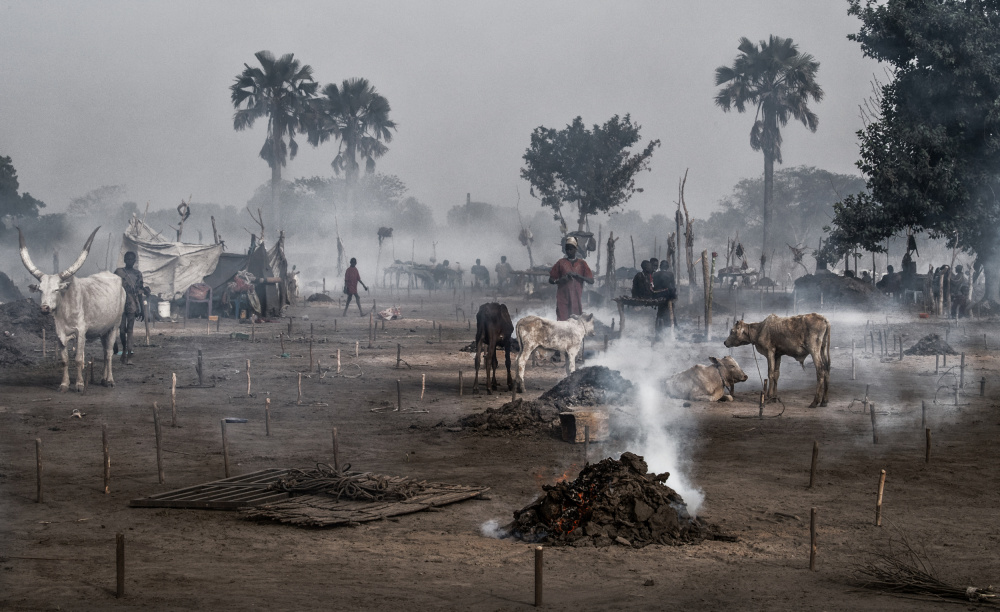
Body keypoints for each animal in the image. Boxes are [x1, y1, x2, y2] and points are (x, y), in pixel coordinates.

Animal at [18, 226, 125, 392]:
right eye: (40, 290)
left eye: (56, 289)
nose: (44, 308)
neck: (65, 310)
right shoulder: (59, 333)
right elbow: (64, 360)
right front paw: (64, 384)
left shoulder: (81, 332)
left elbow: (79, 359)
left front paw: (80, 384)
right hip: (103, 330)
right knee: (104, 351)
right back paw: (103, 379)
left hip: (115, 326)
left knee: (108, 354)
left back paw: (110, 381)